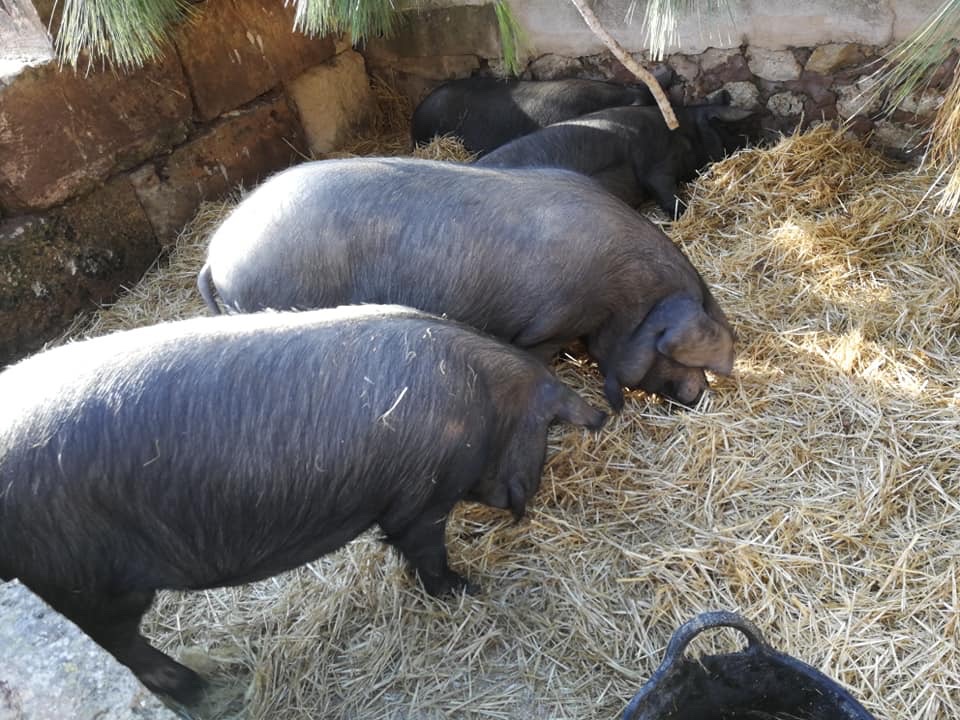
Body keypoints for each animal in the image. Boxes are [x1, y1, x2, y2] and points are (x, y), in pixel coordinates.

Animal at [0, 305, 606, 704]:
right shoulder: (421, 496)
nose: (523, 502)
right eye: (546, 432)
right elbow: (424, 549)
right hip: (86, 580)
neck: (484, 402)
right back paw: (194, 689)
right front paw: (465, 591)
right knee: (118, 642)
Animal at [476, 101, 753, 216]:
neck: (685, 133)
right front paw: (684, 213)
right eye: (728, 128)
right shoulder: (656, 163)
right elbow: (665, 191)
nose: (753, 139)